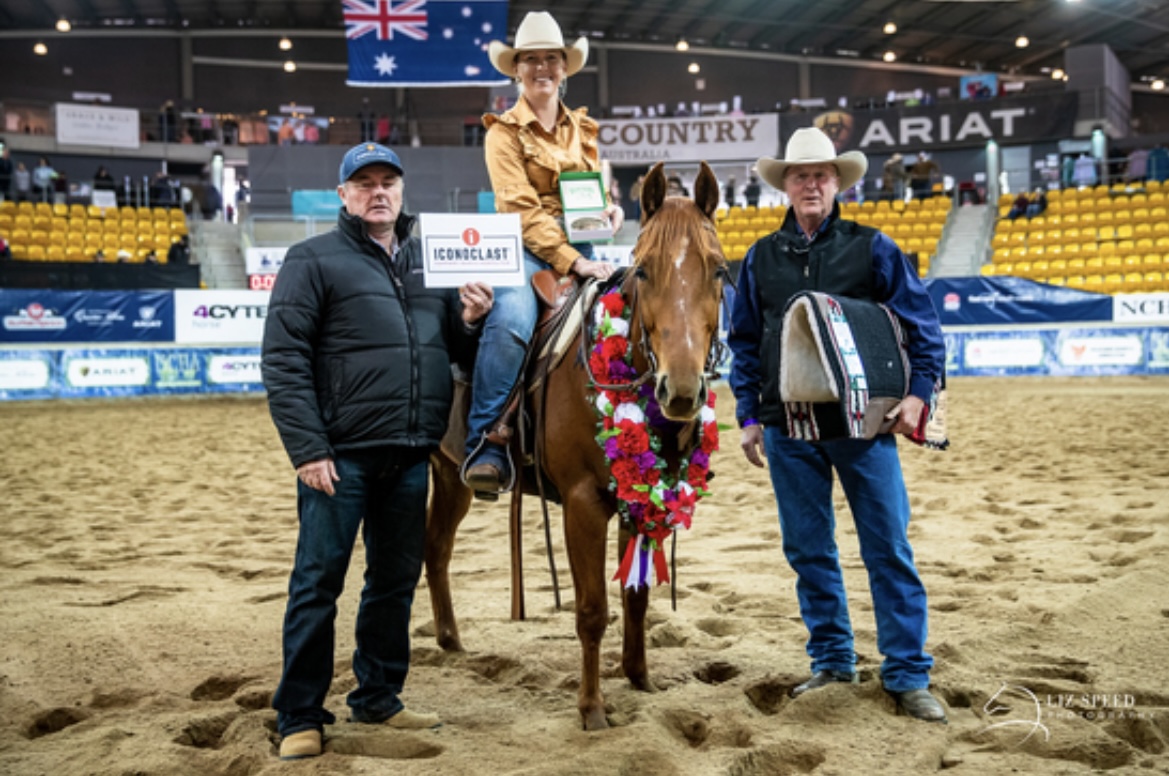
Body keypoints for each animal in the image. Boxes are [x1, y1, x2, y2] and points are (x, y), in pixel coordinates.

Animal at [425, 160, 729, 731]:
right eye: (643, 271)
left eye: (719, 271)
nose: (680, 391)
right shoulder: (583, 504)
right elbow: (591, 611)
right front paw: (592, 708)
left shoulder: (642, 499)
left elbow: (636, 597)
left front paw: (640, 678)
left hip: (449, 475)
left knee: (436, 549)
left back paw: (451, 641)